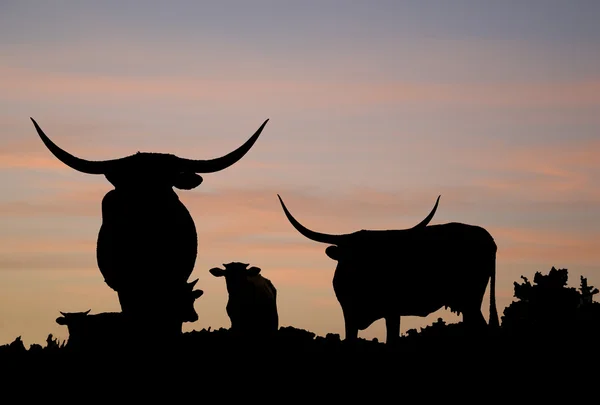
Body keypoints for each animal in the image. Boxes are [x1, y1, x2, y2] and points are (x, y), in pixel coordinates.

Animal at [278, 194, 502, 342]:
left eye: (376, 256)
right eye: (353, 257)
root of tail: (487, 237)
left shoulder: (392, 311)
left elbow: (391, 339)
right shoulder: (349, 313)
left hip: (471, 299)